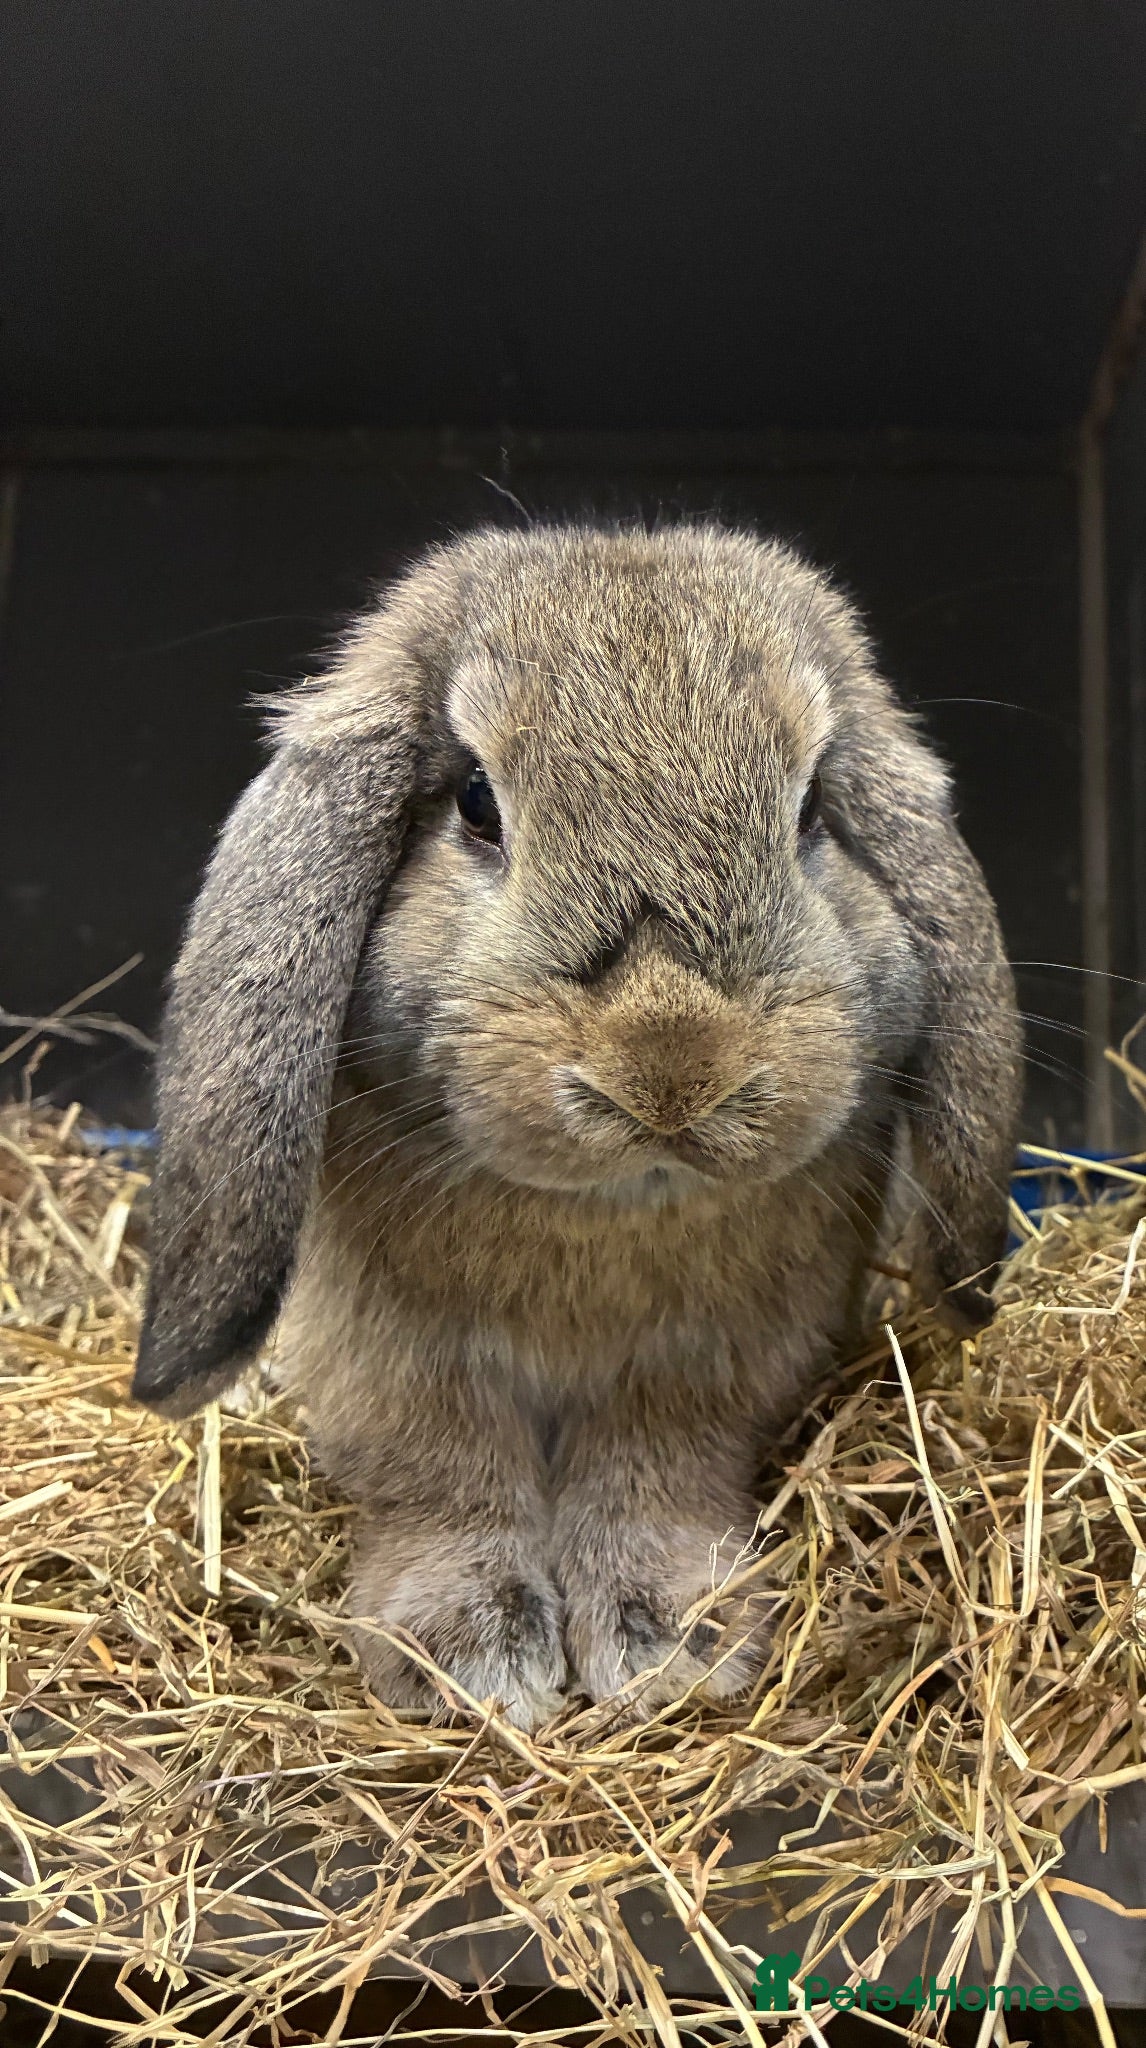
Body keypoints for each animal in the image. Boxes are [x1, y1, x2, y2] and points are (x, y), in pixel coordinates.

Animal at [132, 522, 1021, 1729]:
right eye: (474, 802)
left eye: (810, 814)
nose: (670, 1068)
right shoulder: (396, 1360)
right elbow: (440, 1474)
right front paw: (469, 1656)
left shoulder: (715, 1365)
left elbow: (658, 1472)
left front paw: (671, 1641)